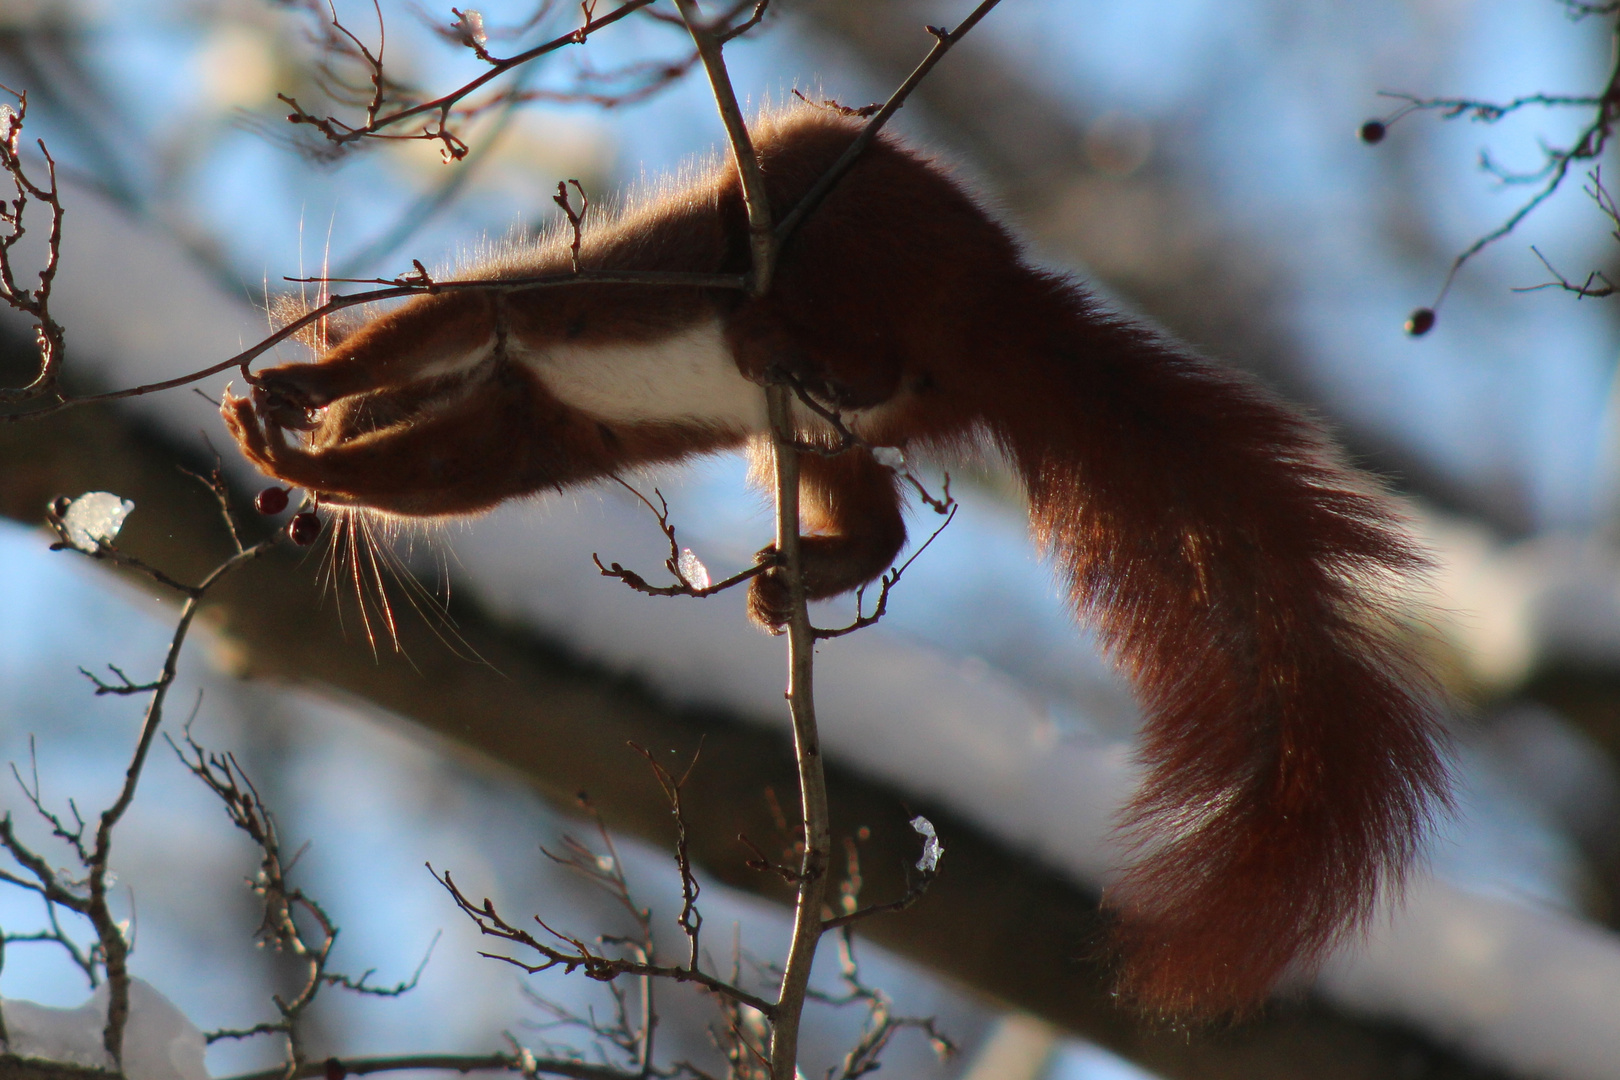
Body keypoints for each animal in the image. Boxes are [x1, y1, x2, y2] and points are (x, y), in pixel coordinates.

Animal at [221, 105, 1451, 1016]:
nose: (314, 465)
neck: (495, 387)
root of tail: (991, 300)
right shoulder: (523, 423)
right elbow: (443, 470)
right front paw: (300, 452)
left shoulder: (524, 324)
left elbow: (435, 329)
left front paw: (292, 396)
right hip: (818, 436)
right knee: (883, 512)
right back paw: (794, 577)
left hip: (826, 215)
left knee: (831, 306)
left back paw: (775, 337)